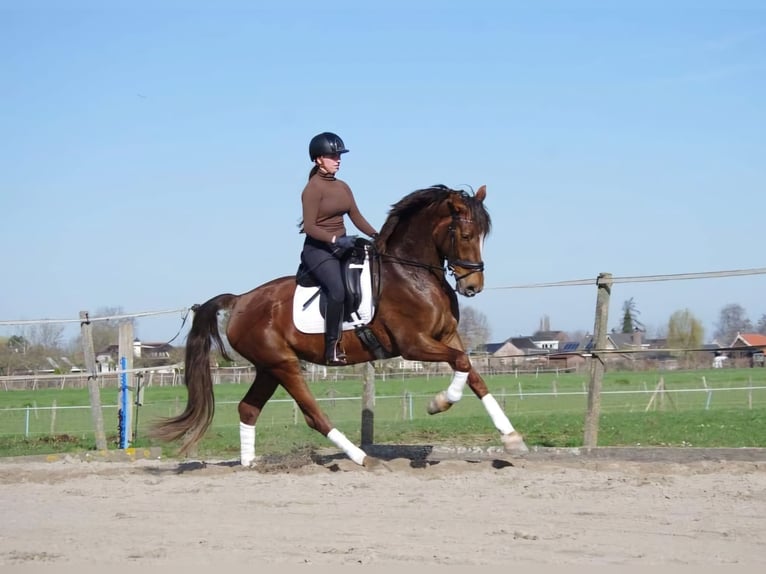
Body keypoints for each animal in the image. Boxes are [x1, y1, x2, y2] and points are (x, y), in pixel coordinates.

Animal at [153, 184, 532, 468]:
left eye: (482, 235)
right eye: (465, 234)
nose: (473, 286)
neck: (412, 273)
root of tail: (240, 300)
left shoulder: (447, 335)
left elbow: (474, 374)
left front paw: (512, 438)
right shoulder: (413, 343)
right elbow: (462, 364)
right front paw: (440, 403)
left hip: (267, 368)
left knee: (248, 408)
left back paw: (250, 465)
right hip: (283, 365)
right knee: (313, 415)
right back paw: (362, 457)